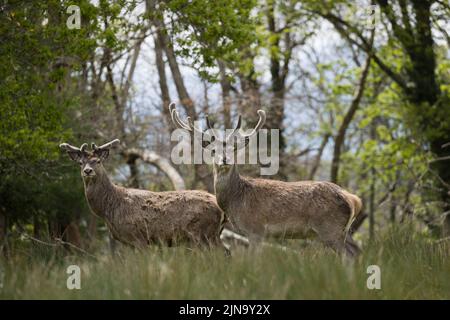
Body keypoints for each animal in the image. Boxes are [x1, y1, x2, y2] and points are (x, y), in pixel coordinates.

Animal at [59, 139, 227, 250]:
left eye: (98, 161)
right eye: (80, 163)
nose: (88, 171)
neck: (109, 208)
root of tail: (219, 205)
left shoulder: (137, 236)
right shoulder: (127, 241)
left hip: (203, 232)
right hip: (212, 233)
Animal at [169, 104, 362, 256]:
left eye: (234, 149)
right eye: (213, 150)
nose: (225, 159)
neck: (236, 200)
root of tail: (353, 199)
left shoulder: (256, 229)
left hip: (329, 227)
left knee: (349, 255)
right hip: (343, 229)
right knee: (357, 250)